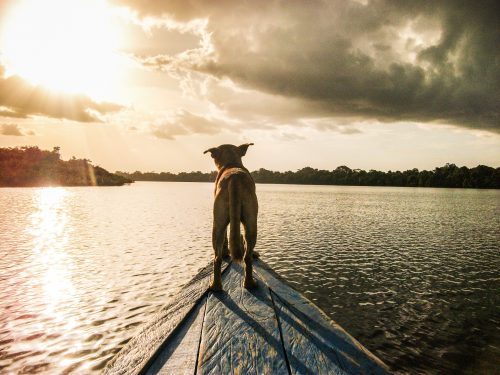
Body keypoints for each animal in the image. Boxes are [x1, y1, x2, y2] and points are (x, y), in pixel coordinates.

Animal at [203, 142, 258, 292]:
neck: (232, 163)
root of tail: (235, 177)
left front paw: (226, 252)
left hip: (218, 223)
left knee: (217, 258)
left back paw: (216, 286)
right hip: (251, 223)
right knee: (247, 256)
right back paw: (249, 284)